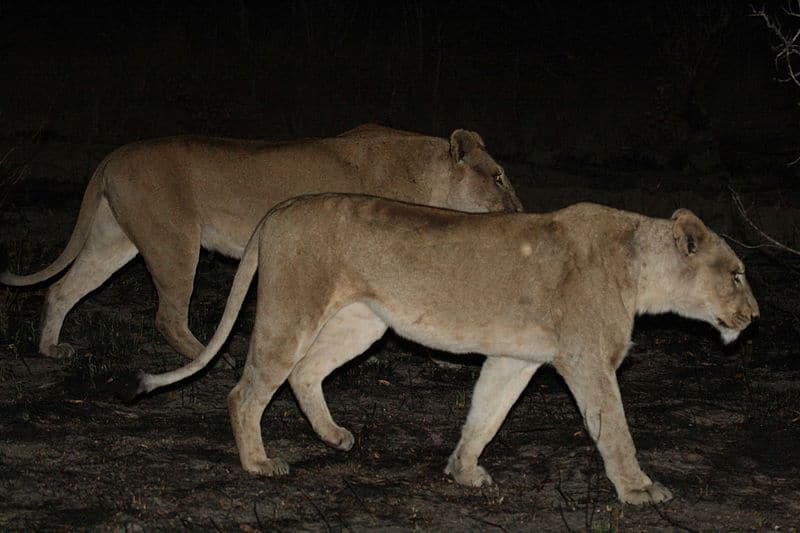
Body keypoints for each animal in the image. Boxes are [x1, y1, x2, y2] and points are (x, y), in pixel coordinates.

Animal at [0, 124, 521, 359]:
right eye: (497, 177)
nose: (520, 211)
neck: (427, 177)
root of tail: (114, 155)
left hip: (115, 242)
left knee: (61, 289)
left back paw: (51, 348)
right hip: (175, 243)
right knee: (167, 316)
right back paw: (209, 356)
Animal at [121, 194, 758, 505]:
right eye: (735, 275)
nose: (755, 316)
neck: (639, 269)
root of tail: (277, 211)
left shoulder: (516, 357)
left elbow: (487, 413)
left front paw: (463, 471)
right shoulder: (587, 361)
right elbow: (616, 430)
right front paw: (640, 491)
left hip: (363, 322)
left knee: (305, 374)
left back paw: (334, 438)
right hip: (292, 310)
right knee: (246, 390)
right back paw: (258, 463)